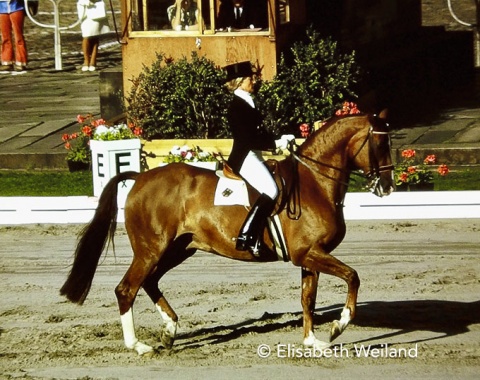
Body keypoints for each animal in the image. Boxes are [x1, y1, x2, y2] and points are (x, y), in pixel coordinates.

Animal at [59, 110, 394, 356]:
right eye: (380, 144)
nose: (388, 187)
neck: (314, 182)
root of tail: (140, 177)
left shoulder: (309, 256)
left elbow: (307, 298)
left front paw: (313, 341)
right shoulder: (309, 254)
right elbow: (353, 276)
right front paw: (339, 326)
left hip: (178, 248)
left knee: (149, 282)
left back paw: (169, 330)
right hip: (151, 248)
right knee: (127, 288)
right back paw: (138, 345)